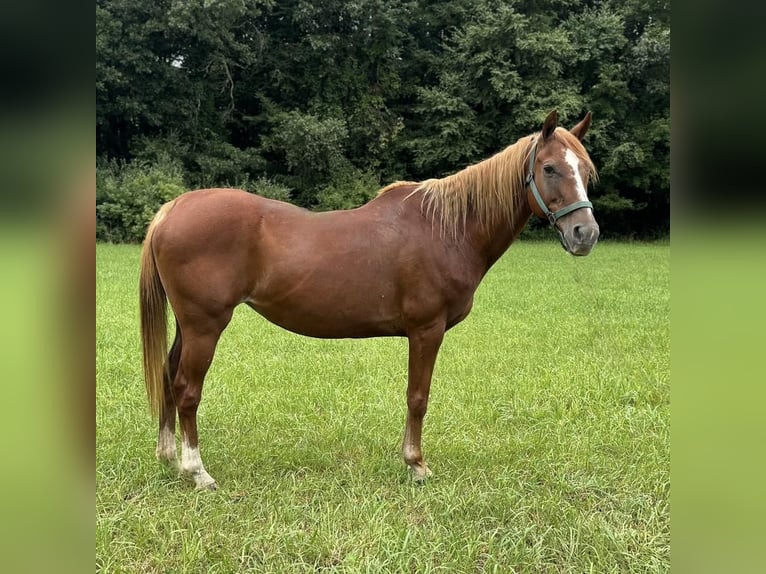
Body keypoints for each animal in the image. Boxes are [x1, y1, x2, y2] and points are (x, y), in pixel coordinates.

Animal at [141, 109, 604, 490]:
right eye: (549, 168)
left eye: (585, 170)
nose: (585, 234)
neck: (447, 229)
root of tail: (172, 209)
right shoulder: (426, 330)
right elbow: (418, 396)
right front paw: (416, 464)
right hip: (206, 325)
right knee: (186, 388)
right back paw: (197, 472)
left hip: (188, 325)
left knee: (167, 372)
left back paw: (168, 456)